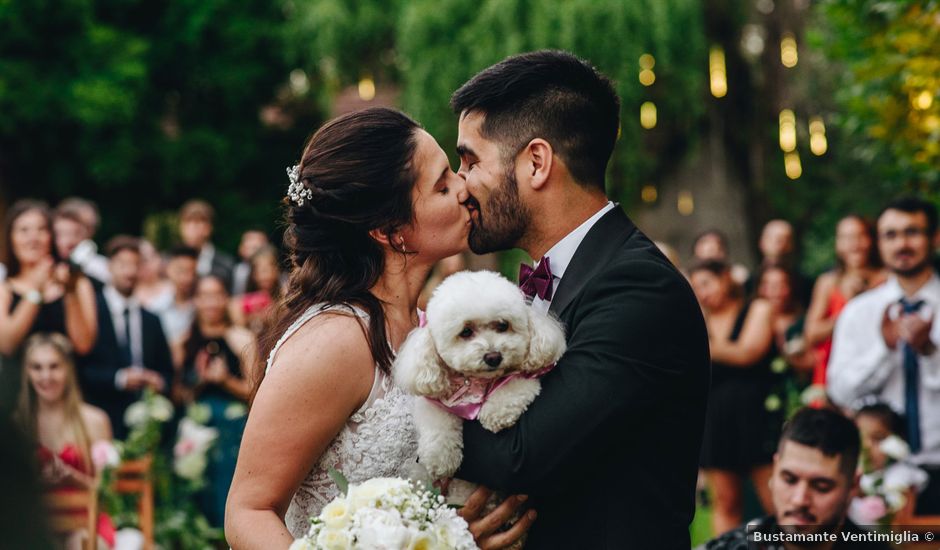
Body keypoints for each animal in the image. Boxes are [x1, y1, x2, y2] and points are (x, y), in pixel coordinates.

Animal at [392, 272, 564, 484]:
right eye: (466, 331)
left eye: (503, 325)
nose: (493, 357)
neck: (476, 381)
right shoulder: (432, 400)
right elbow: (436, 421)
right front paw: (440, 458)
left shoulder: (524, 376)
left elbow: (512, 386)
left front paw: (496, 413)